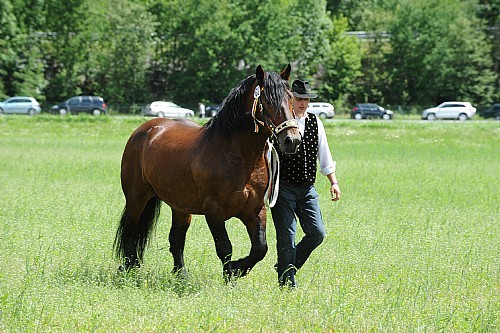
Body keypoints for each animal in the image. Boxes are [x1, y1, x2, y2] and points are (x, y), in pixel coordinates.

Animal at [114, 63, 300, 278]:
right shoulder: (214, 212)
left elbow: (260, 248)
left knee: (176, 239)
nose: (292, 140)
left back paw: (181, 275)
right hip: (136, 198)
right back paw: (130, 267)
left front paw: (237, 268)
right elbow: (225, 248)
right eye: (268, 101)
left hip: (180, 206)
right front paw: (230, 274)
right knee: (132, 230)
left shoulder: (255, 211)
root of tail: (145, 130)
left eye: (291, 98)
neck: (240, 159)